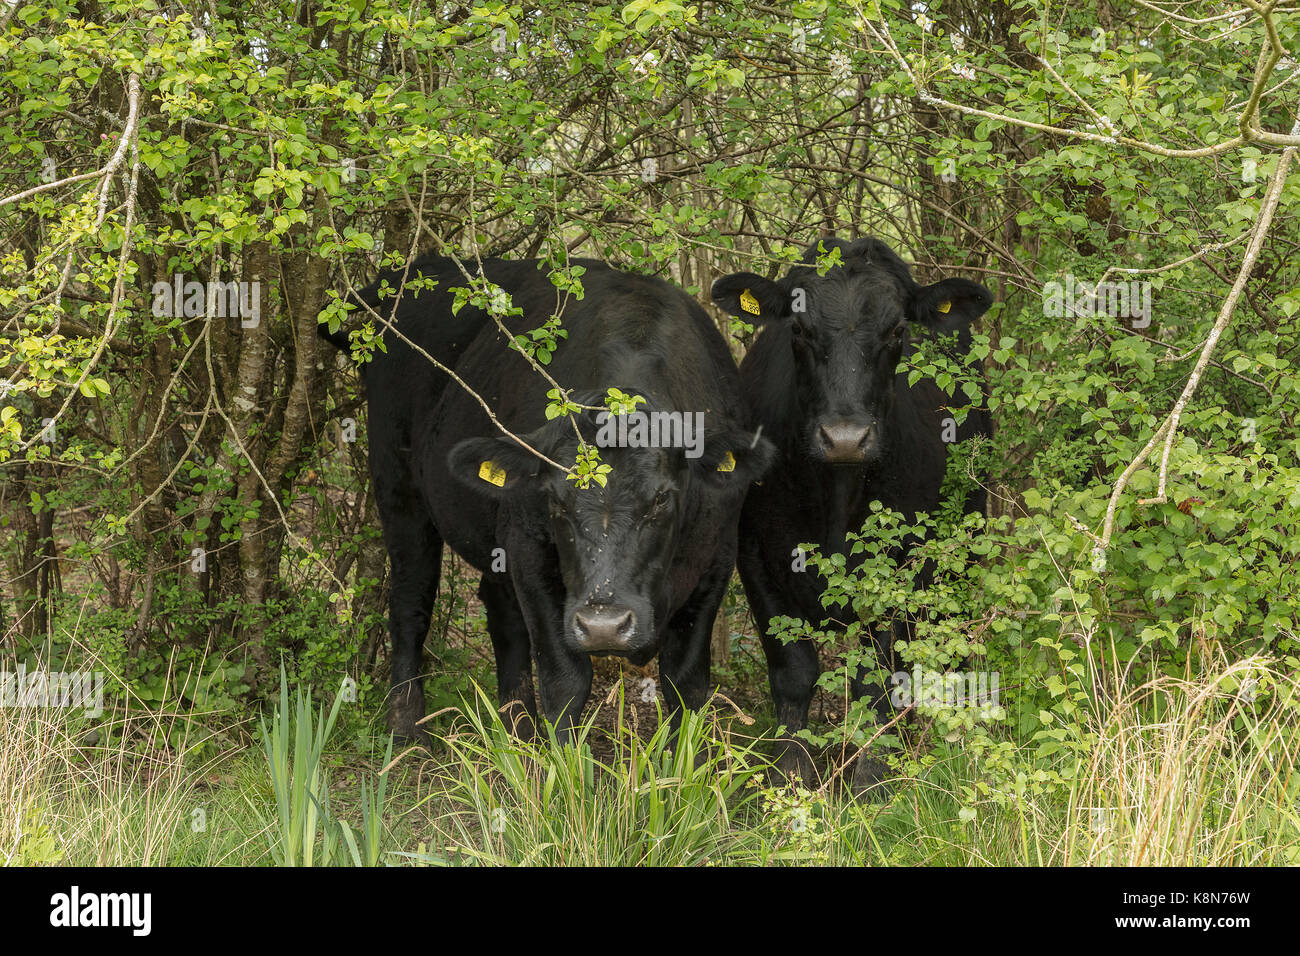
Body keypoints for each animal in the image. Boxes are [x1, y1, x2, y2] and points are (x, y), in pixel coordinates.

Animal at [325, 257, 769, 743]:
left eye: (661, 499)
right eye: (556, 500)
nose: (603, 626)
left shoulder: (716, 556)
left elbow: (685, 683)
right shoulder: (529, 550)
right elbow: (565, 679)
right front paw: (564, 762)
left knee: (500, 613)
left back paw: (515, 731)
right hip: (398, 490)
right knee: (411, 600)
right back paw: (406, 729)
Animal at [712, 238, 993, 785]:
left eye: (898, 330)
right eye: (798, 329)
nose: (845, 438)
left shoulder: (909, 562)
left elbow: (879, 672)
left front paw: (874, 775)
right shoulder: (754, 552)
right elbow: (794, 670)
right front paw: (790, 772)